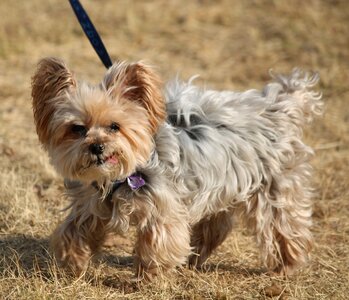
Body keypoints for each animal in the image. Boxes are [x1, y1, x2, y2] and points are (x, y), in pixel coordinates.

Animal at [32, 58, 320, 278]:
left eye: (114, 126)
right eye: (77, 129)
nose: (97, 147)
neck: (117, 178)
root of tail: (278, 107)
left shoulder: (163, 206)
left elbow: (158, 243)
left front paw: (146, 278)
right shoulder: (90, 204)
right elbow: (73, 231)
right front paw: (73, 261)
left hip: (274, 186)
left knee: (283, 226)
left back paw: (286, 266)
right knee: (216, 224)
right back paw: (196, 255)